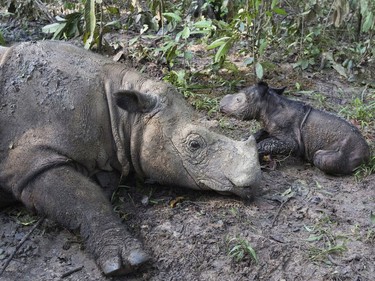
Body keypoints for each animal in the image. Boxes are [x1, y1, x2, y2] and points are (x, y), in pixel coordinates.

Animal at [0, 40, 262, 274]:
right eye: (194, 145)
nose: (254, 181)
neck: (123, 116)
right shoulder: (31, 162)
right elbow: (83, 196)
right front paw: (127, 262)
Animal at [219, 80, 372, 175]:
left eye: (238, 100)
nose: (220, 105)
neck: (267, 105)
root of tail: (368, 154)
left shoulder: (291, 141)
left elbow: (268, 143)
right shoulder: (271, 127)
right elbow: (261, 134)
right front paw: (244, 141)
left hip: (348, 150)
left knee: (320, 158)